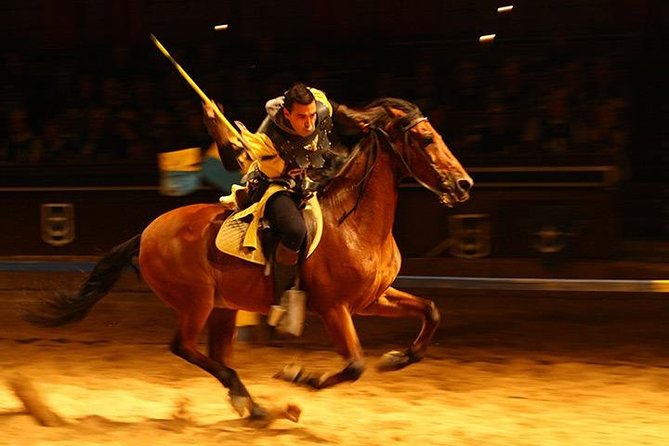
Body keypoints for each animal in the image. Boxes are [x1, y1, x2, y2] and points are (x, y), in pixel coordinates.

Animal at [26, 97, 472, 422]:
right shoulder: (334, 307)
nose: (463, 184)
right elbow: (354, 365)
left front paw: (398, 358)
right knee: (183, 347)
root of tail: (148, 233)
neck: (354, 220)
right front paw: (299, 376)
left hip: (223, 306)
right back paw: (249, 399)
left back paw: (251, 404)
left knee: (215, 353)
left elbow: (430, 311)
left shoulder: (372, 298)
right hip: (196, 301)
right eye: (426, 139)